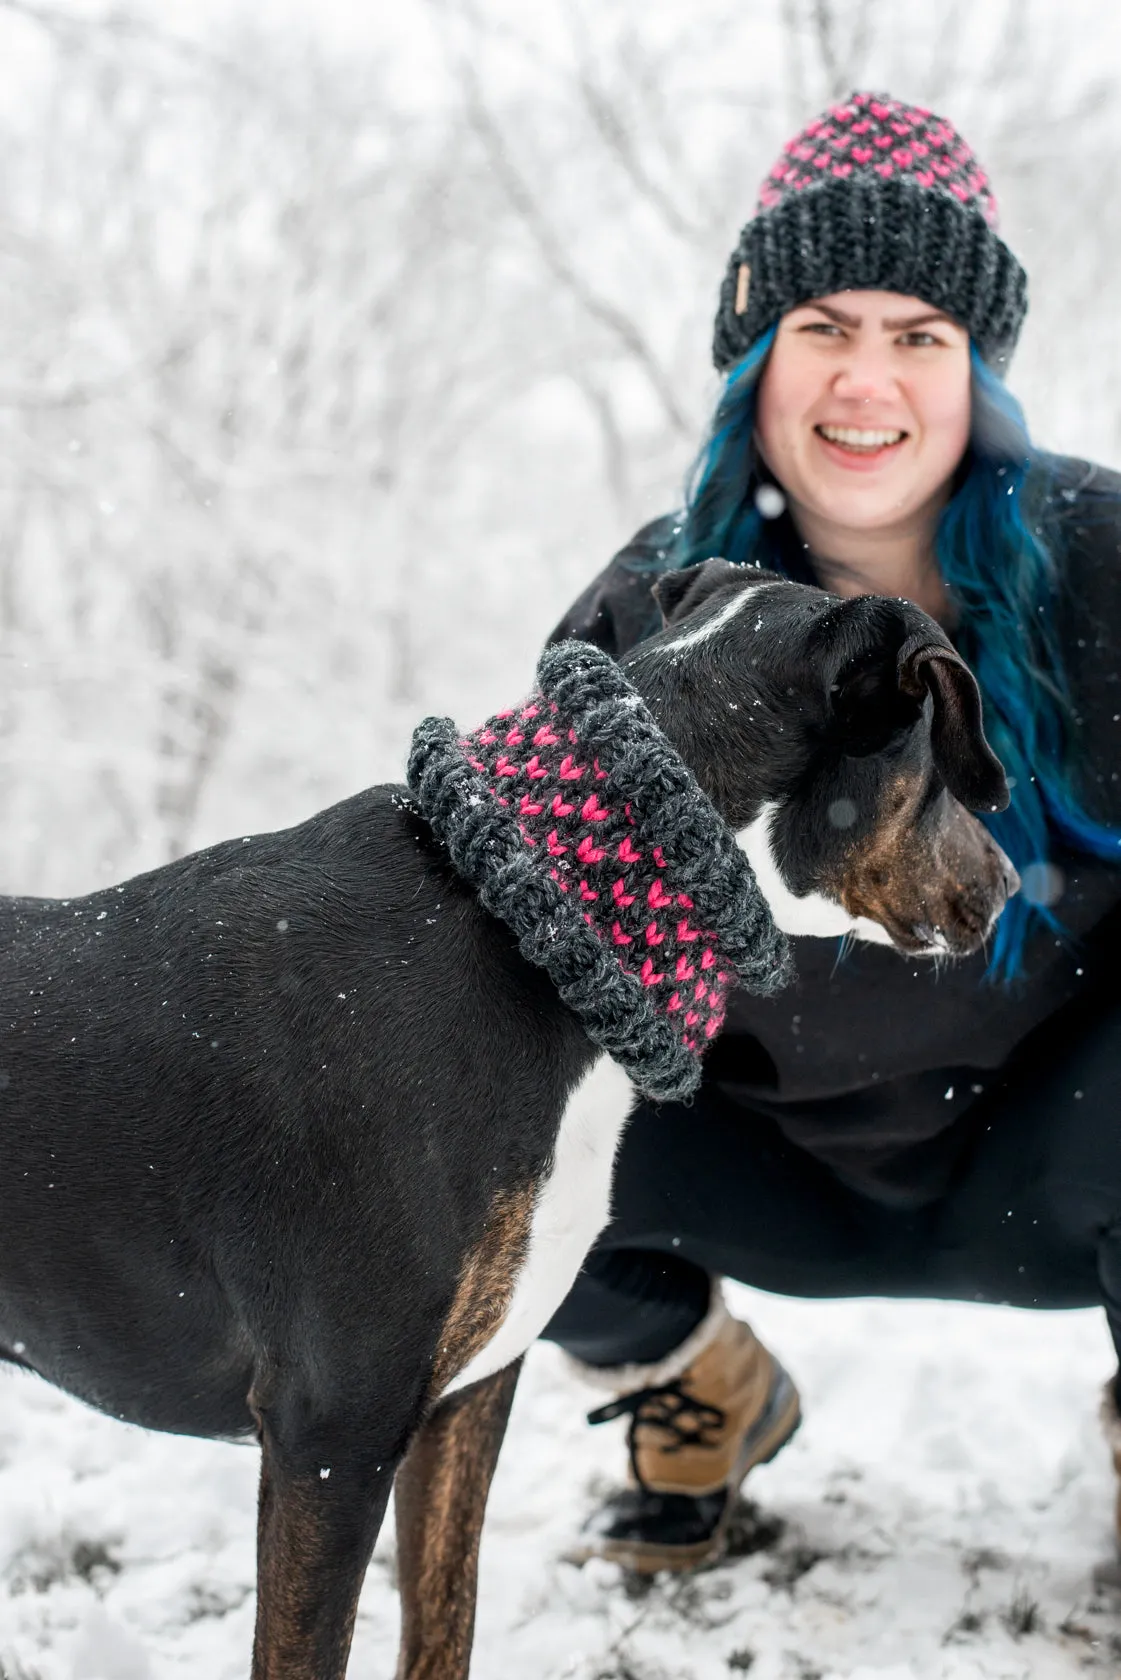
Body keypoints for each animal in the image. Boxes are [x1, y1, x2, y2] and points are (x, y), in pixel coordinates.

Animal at [0, 567, 1015, 1680]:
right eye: (937, 766)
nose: (1009, 881)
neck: (534, 920)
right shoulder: (331, 1433)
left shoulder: (462, 1400)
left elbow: (444, 1621)